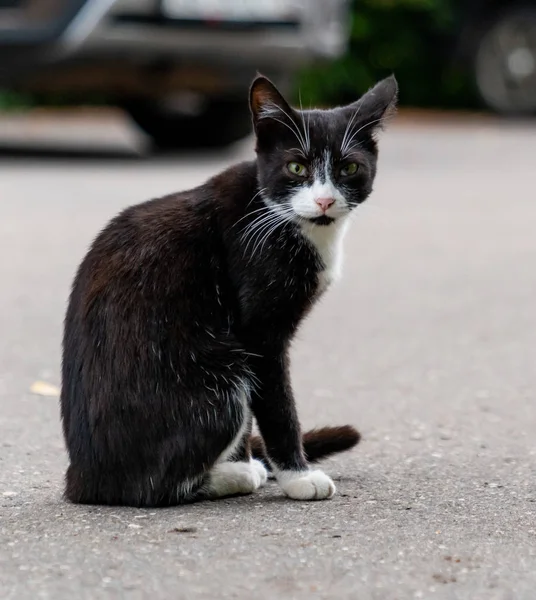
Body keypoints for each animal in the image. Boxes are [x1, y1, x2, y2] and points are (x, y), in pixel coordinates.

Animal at [61, 74, 398, 506]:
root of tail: (83, 481)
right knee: (155, 485)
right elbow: (277, 406)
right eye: (296, 167)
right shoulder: (257, 331)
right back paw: (231, 477)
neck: (278, 215)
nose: (324, 200)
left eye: (349, 167)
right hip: (217, 374)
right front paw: (297, 476)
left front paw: (250, 461)